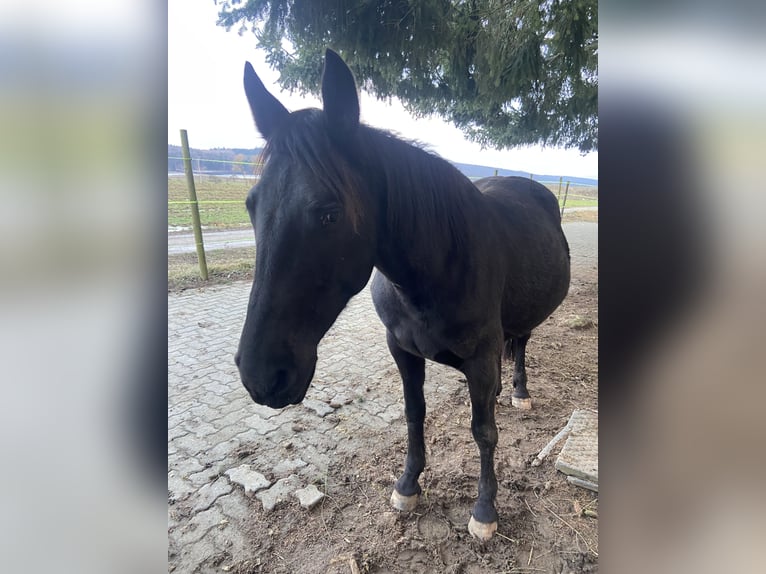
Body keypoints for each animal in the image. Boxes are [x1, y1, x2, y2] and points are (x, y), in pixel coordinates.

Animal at [234, 49, 570, 541]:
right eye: (251, 205)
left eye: (330, 214)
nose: (261, 376)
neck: (437, 269)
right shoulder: (402, 349)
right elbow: (414, 413)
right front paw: (408, 485)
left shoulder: (481, 359)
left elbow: (483, 431)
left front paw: (485, 510)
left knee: (522, 342)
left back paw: (520, 391)